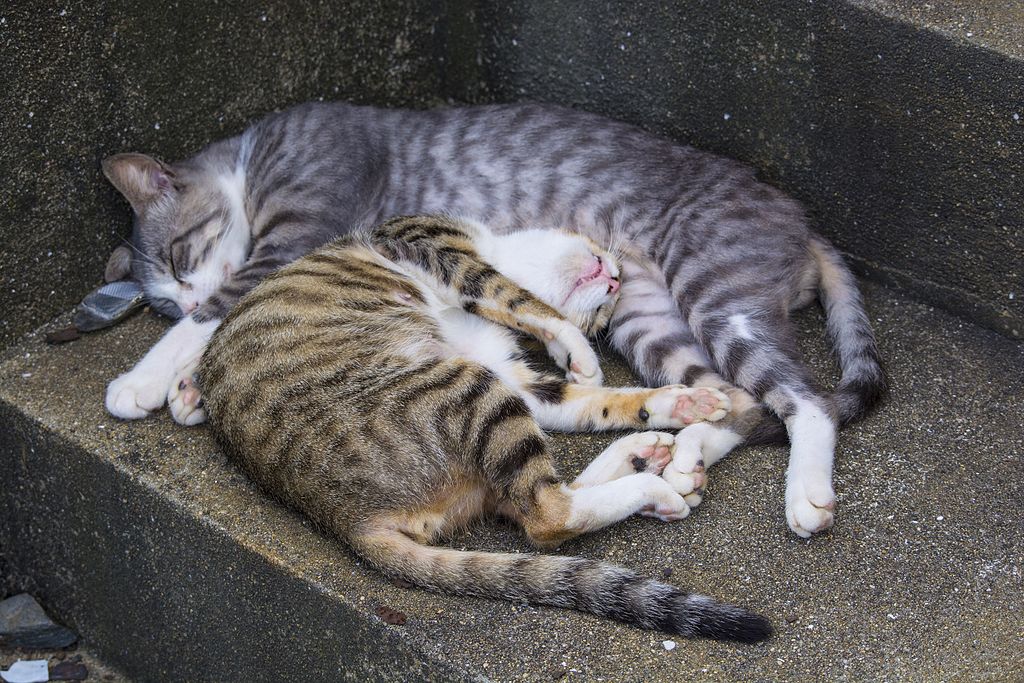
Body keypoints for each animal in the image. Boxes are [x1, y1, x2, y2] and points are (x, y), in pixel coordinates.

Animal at [105, 101, 888, 540]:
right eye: (161, 290)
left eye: (179, 257)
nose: (179, 294)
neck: (249, 160)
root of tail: (800, 219)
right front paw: (187, 386)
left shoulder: (299, 229)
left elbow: (220, 310)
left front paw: (145, 379)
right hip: (649, 320)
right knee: (737, 399)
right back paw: (685, 450)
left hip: (716, 290)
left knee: (805, 398)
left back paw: (804, 491)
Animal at [197, 216, 770, 643]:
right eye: (610, 298)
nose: (613, 279)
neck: (497, 245)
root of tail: (344, 519)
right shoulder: (435, 247)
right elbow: (524, 300)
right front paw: (578, 352)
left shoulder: (513, 371)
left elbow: (592, 401)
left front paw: (682, 399)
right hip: (465, 385)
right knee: (545, 515)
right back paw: (652, 482)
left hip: (477, 390)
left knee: (531, 503)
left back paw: (645, 456)